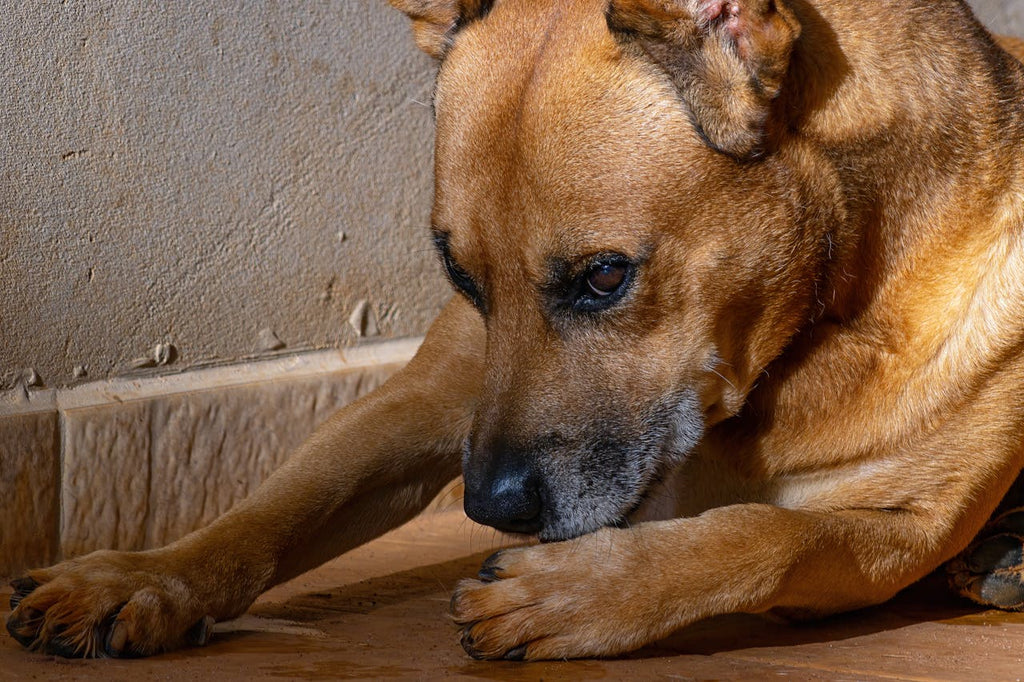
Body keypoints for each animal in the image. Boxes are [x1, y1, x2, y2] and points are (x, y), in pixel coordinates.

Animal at [6, 0, 1024, 659]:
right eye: (462, 276)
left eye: (605, 277)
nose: (490, 508)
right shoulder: (427, 401)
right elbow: (275, 506)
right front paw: (140, 577)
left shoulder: (898, 533)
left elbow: (759, 537)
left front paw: (575, 592)